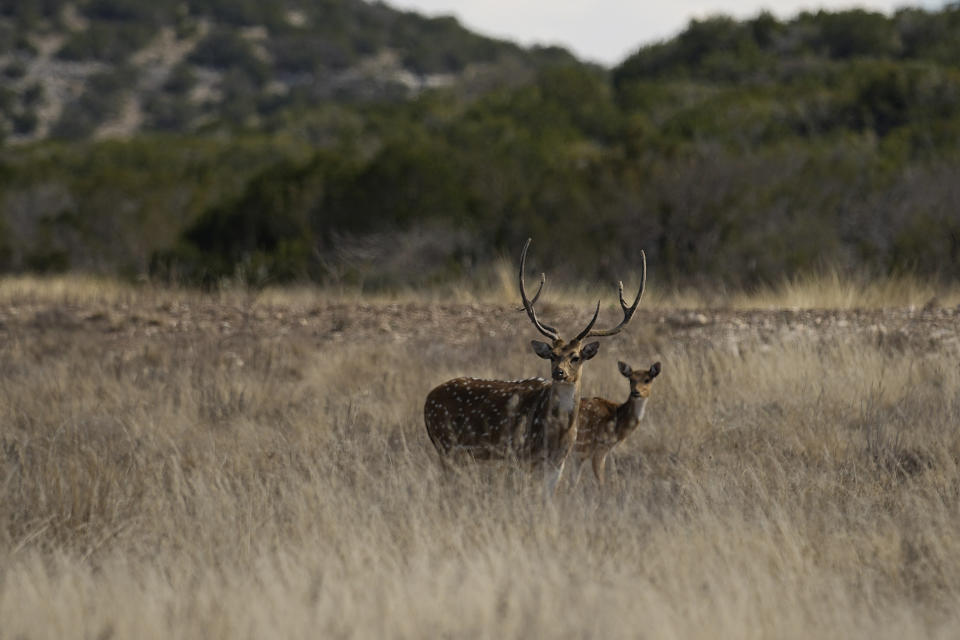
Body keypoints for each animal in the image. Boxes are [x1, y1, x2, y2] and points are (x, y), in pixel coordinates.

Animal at [422, 240, 640, 496]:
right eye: (553, 355)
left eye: (576, 357)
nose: (559, 373)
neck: (557, 432)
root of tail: (428, 399)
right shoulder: (522, 456)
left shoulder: (558, 463)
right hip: (446, 444)